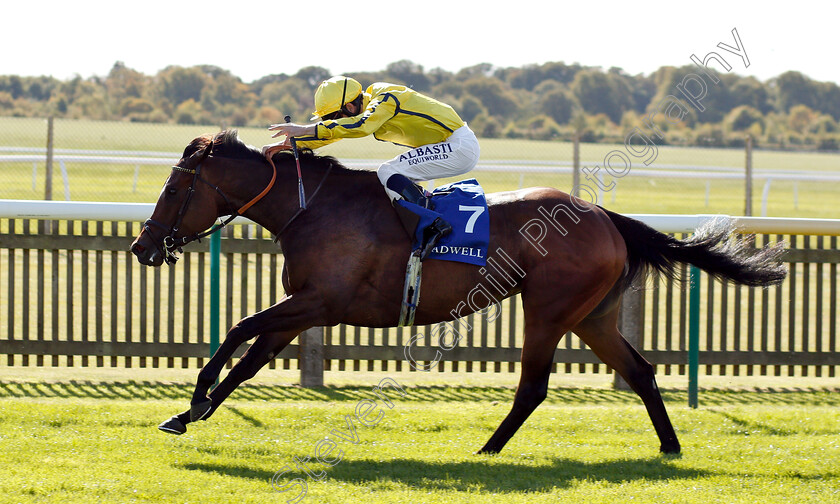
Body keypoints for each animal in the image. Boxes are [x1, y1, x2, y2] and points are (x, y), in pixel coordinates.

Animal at [131, 131, 788, 456]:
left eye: (174, 189)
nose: (142, 247)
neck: (311, 208)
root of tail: (604, 214)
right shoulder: (302, 310)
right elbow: (247, 361)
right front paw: (188, 414)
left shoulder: (321, 303)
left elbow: (238, 329)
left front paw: (194, 399)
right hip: (592, 316)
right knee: (642, 371)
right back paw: (671, 448)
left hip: (547, 309)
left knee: (534, 386)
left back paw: (488, 449)